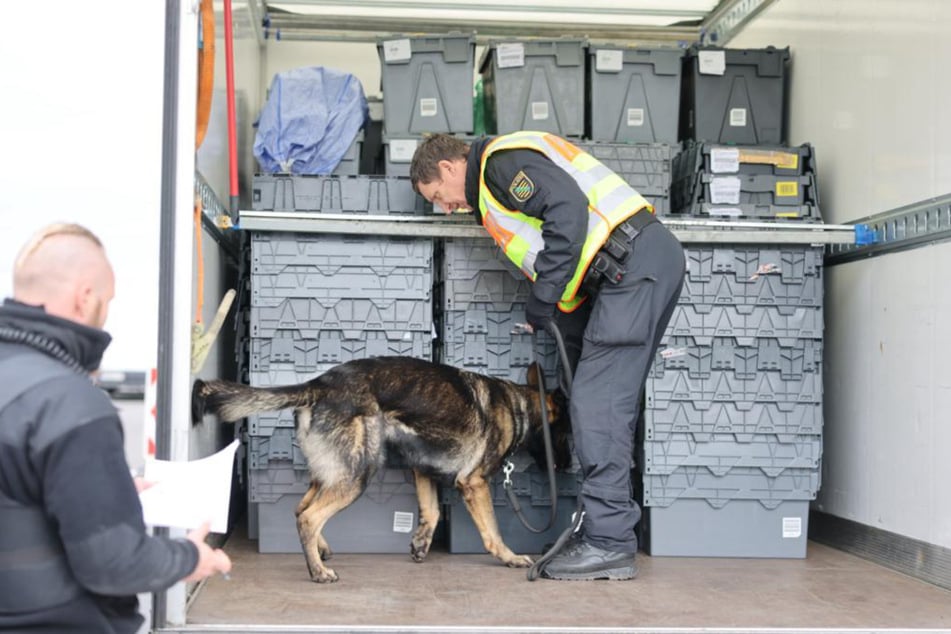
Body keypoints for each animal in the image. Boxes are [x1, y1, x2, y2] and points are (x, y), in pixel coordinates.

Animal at [190, 354, 568, 580]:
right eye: (567, 432)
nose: (566, 468)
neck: (518, 405)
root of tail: (318, 384)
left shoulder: (422, 468)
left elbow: (431, 511)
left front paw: (421, 545)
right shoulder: (473, 483)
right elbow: (492, 530)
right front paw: (510, 557)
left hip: (333, 472)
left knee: (300, 509)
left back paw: (320, 551)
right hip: (357, 473)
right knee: (310, 516)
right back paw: (316, 572)